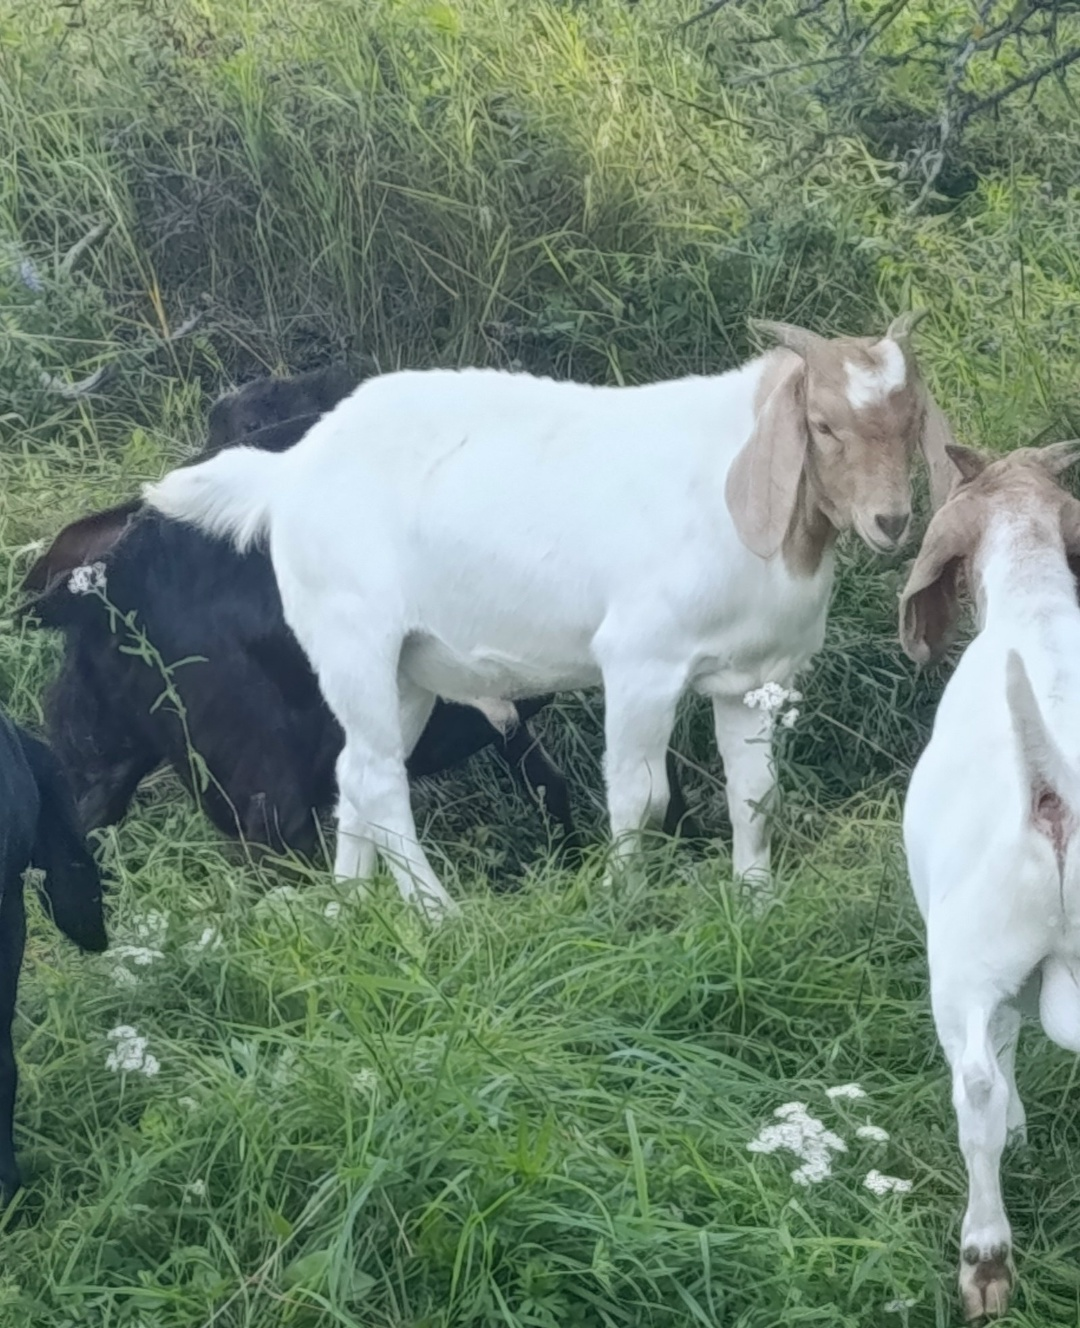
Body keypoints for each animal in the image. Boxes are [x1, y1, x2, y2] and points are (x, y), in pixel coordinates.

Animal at [145, 313, 957, 917]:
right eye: (822, 424)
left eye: (911, 417)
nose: (890, 520)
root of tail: (290, 473)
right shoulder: (640, 661)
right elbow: (640, 794)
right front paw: (623, 900)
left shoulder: (754, 679)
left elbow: (755, 795)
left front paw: (756, 903)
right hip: (352, 640)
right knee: (376, 778)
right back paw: (440, 916)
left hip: (406, 668)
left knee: (356, 772)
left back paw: (349, 909)